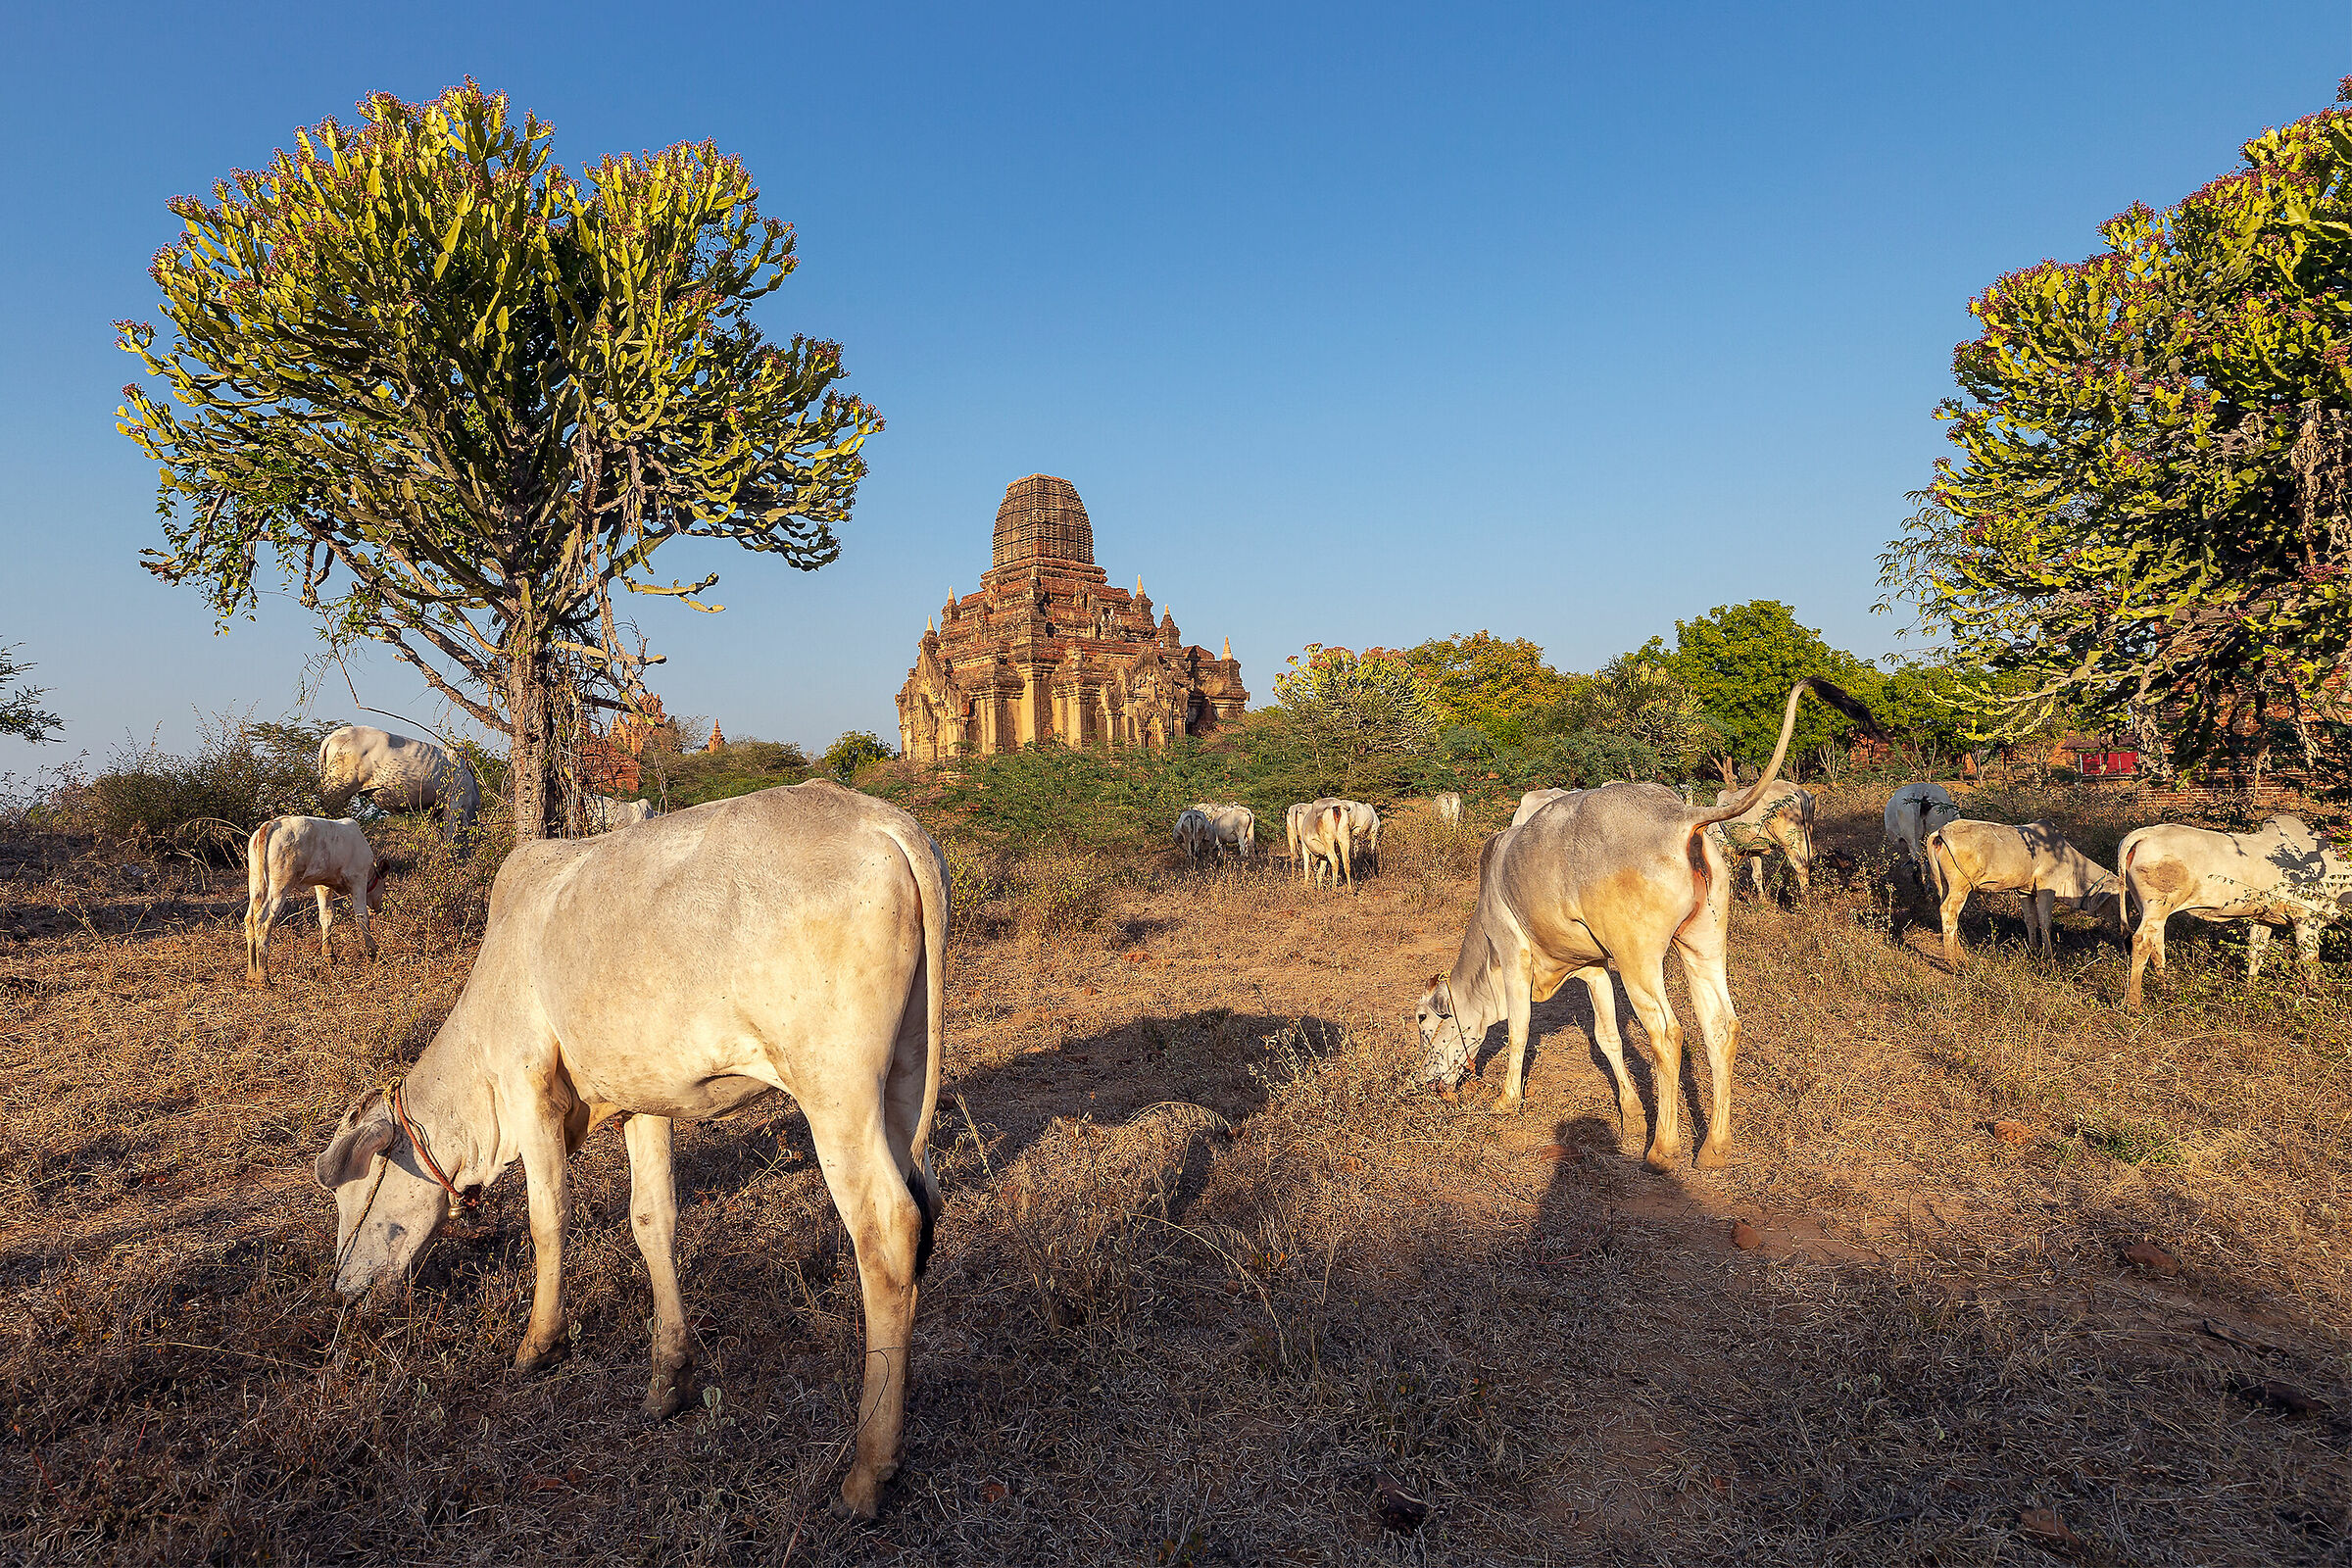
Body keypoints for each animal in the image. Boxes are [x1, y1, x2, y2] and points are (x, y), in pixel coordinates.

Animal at [244, 816, 389, 985]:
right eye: (383, 885)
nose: (378, 907)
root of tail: (272, 823)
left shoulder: (322, 884)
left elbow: (326, 916)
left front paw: (329, 955)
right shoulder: (358, 878)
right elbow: (362, 917)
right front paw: (372, 953)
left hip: (256, 883)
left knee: (249, 919)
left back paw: (251, 972)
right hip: (279, 887)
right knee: (264, 920)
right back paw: (262, 976)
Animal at [311, 782, 947, 1518]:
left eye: (358, 1186)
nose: (341, 1288)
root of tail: (887, 823)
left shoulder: (530, 1089)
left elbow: (547, 1220)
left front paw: (539, 1343)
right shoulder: (646, 1100)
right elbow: (652, 1222)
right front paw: (668, 1377)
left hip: (835, 1091)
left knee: (888, 1230)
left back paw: (869, 1467)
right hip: (904, 1076)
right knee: (923, 1206)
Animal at [1415, 677, 1876, 1170]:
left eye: (1423, 1021)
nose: (1424, 1080)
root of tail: (1681, 818)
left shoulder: (1513, 952)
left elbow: (1520, 1028)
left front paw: (1507, 1100)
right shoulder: (1594, 966)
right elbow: (1608, 1038)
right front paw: (1633, 1113)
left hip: (1638, 957)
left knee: (1668, 1035)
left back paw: (1663, 1149)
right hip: (1701, 944)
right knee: (1721, 1025)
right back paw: (1714, 1146)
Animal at [1920, 819, 2118, 967]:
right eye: (2117, 899)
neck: (2073, 867)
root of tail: (1940, 832)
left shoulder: (2025, 891)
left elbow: (2031, 919)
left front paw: (2033, 948)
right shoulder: (2047, 887)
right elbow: (2045, 922)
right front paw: (2049, 956)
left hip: (1944, 884)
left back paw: (1960, 954)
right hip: (1959, 886)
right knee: (1948, 912)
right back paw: (1953, 962)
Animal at [2117, 816, 2352, 1007]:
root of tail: (2146, 833)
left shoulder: (2263, 919)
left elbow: (2256, 956)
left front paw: (2249, 993)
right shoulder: (2306, 919)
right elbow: (2310, 962)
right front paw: (2317, 999)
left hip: (2152, 910)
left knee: (2157, 945)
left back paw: (2166, 989)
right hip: (2157, 906)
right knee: (2142, 942)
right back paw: (2134, 1004)